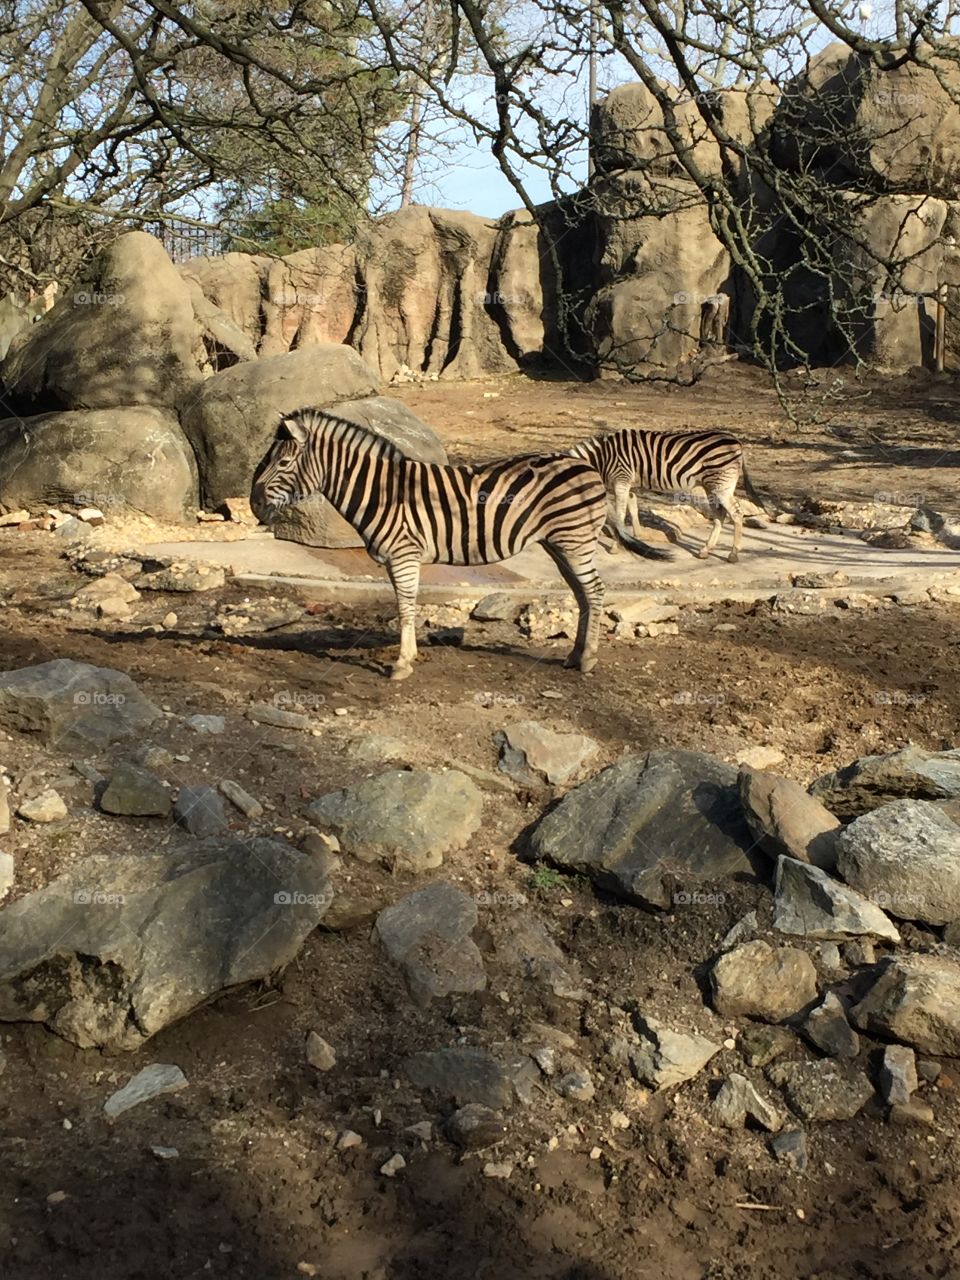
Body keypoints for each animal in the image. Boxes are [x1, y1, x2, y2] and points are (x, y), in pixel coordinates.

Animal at [250, 408, 672, 680]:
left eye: (282, 464)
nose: (253, 504)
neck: (382, 492)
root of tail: (586, 466)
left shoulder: (404, 554)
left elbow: (405, 605)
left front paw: (401, 665)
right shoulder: (398, 558)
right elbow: (405, 604)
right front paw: (409, 656)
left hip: (575, 540)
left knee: (595, 590)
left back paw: (588, 660)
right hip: (560, 543)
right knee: (584, 594)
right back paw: (573, 656)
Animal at [570, 427, 768, 564]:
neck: (603, 458)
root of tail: (736, 441)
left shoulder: (622, 480)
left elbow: (620, 514)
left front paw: (616, 545)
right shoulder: (630, 485)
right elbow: (633, 510)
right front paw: (637, 537)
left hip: (722, 485)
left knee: (736, 514)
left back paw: (733, 554)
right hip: (711, 486)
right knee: (720, 514)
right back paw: (705, 550)